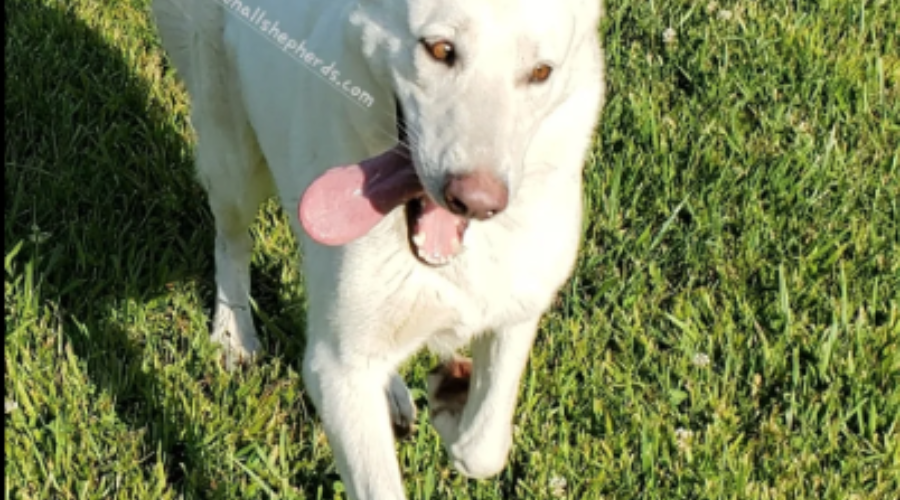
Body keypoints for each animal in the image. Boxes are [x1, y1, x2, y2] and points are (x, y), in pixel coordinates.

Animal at [153, 0, 604, 496]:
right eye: (440, 50)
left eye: (541, 72)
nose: (476, 202)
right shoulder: (335, 368)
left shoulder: (518, 311)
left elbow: (484, 448)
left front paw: (451, 406)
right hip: (232, 156)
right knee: (231, 241)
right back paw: (234, 334)